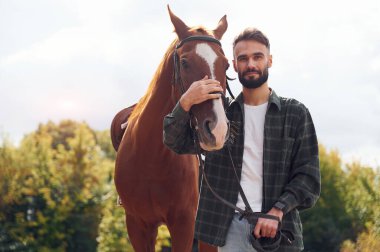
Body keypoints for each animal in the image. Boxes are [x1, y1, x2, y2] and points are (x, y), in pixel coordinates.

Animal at [113, 6, 229, 252]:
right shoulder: (138, 225)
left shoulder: (184, 224)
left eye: (226, 64)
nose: (218, 129)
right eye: (184, 62)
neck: (150, 157)